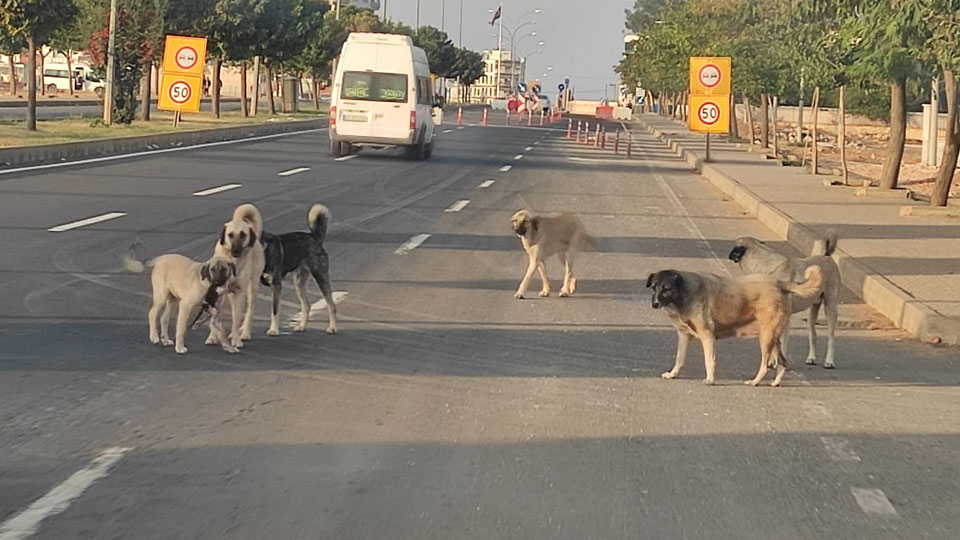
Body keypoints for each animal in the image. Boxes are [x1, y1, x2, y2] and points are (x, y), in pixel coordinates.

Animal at [212, 202, 266, 346]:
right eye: (230, 235)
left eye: (243, 235)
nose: (236, 251)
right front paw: (212, 337)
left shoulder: (239, 292)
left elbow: (236, 319)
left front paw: (236, 339)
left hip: (252, 288)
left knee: (249, 311)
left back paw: (245, 333)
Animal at [260, 205, 340, 336]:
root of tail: (314, 237)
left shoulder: (276, 286)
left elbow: (275, 311)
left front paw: (274, 330)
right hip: (299, 283)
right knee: (307, 305)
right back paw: (302, 326)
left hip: (321, 277)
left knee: (331, 305)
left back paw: (332, 328)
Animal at [648, 266, 820, 388]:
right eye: (654, 287)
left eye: (666, 288)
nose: (654, 303)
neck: (684, 292)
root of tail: (779, 283)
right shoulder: (684, 336)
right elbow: (679, 358)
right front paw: (673, 374)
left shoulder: (707, 336)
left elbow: (709, 361)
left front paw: (710, 380)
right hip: (774, 337)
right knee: (783, 361)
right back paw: (776, 382)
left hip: (766, 337)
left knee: (765, 365)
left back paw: (754, 382)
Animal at [728, 230, 840, 370]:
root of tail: (827, 256)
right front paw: (771, 362)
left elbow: (783, 342)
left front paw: (779, 362)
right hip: (812, 311)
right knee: (813, 335)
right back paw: (811, 358)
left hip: (830, 307)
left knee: (832, 338)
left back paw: (829, 361)